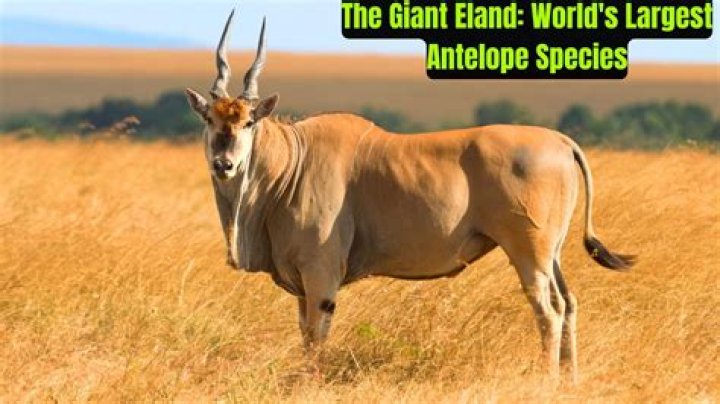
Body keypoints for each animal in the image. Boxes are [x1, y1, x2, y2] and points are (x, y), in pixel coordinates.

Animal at [184, 10, 634, 381]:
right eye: (209, 119)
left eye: (247, 122)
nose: (224, 164)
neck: (293, 161)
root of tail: (560, 140)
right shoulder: (302, 283)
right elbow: (305, 334)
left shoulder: (320, 275)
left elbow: (315, 337)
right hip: (551, 254)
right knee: (569, 303)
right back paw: (571, 380)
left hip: (530, 253)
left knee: (550, 311)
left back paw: (549, 380)